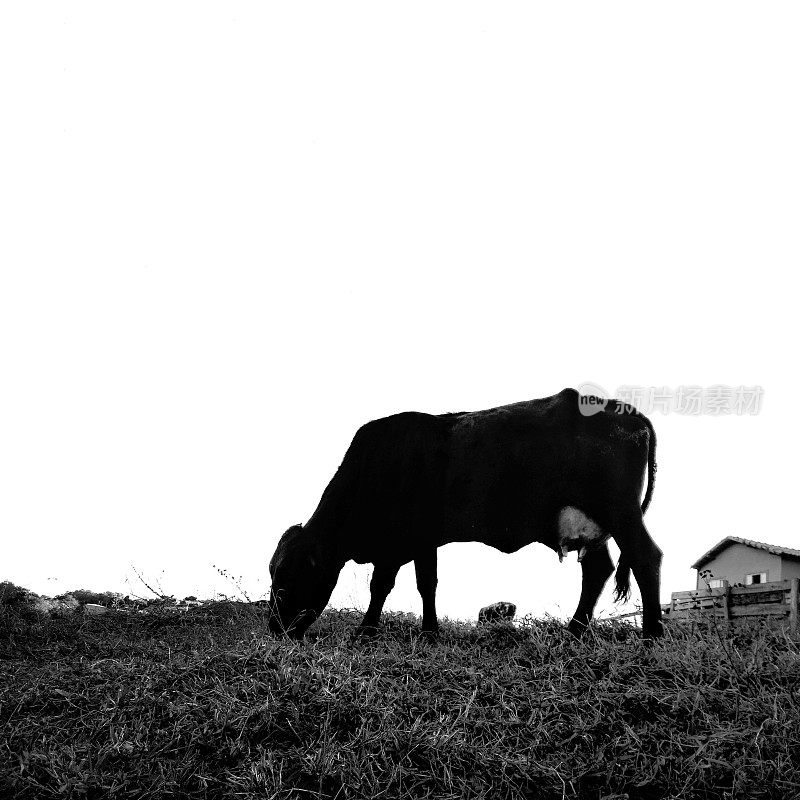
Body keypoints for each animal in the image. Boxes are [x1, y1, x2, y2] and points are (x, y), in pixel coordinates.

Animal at [266, 388, 660, 636]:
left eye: (284, 584)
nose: (274, 630)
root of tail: (629, 413)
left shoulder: (401, 543)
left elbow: (385, 585)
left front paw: (367, 631)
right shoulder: (421, 543)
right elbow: (426, 584)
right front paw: (429, 632)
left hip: (621, 513)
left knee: (646, 558)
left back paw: (651, 635)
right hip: (593, 524)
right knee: (598, 570)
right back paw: (575, 631)